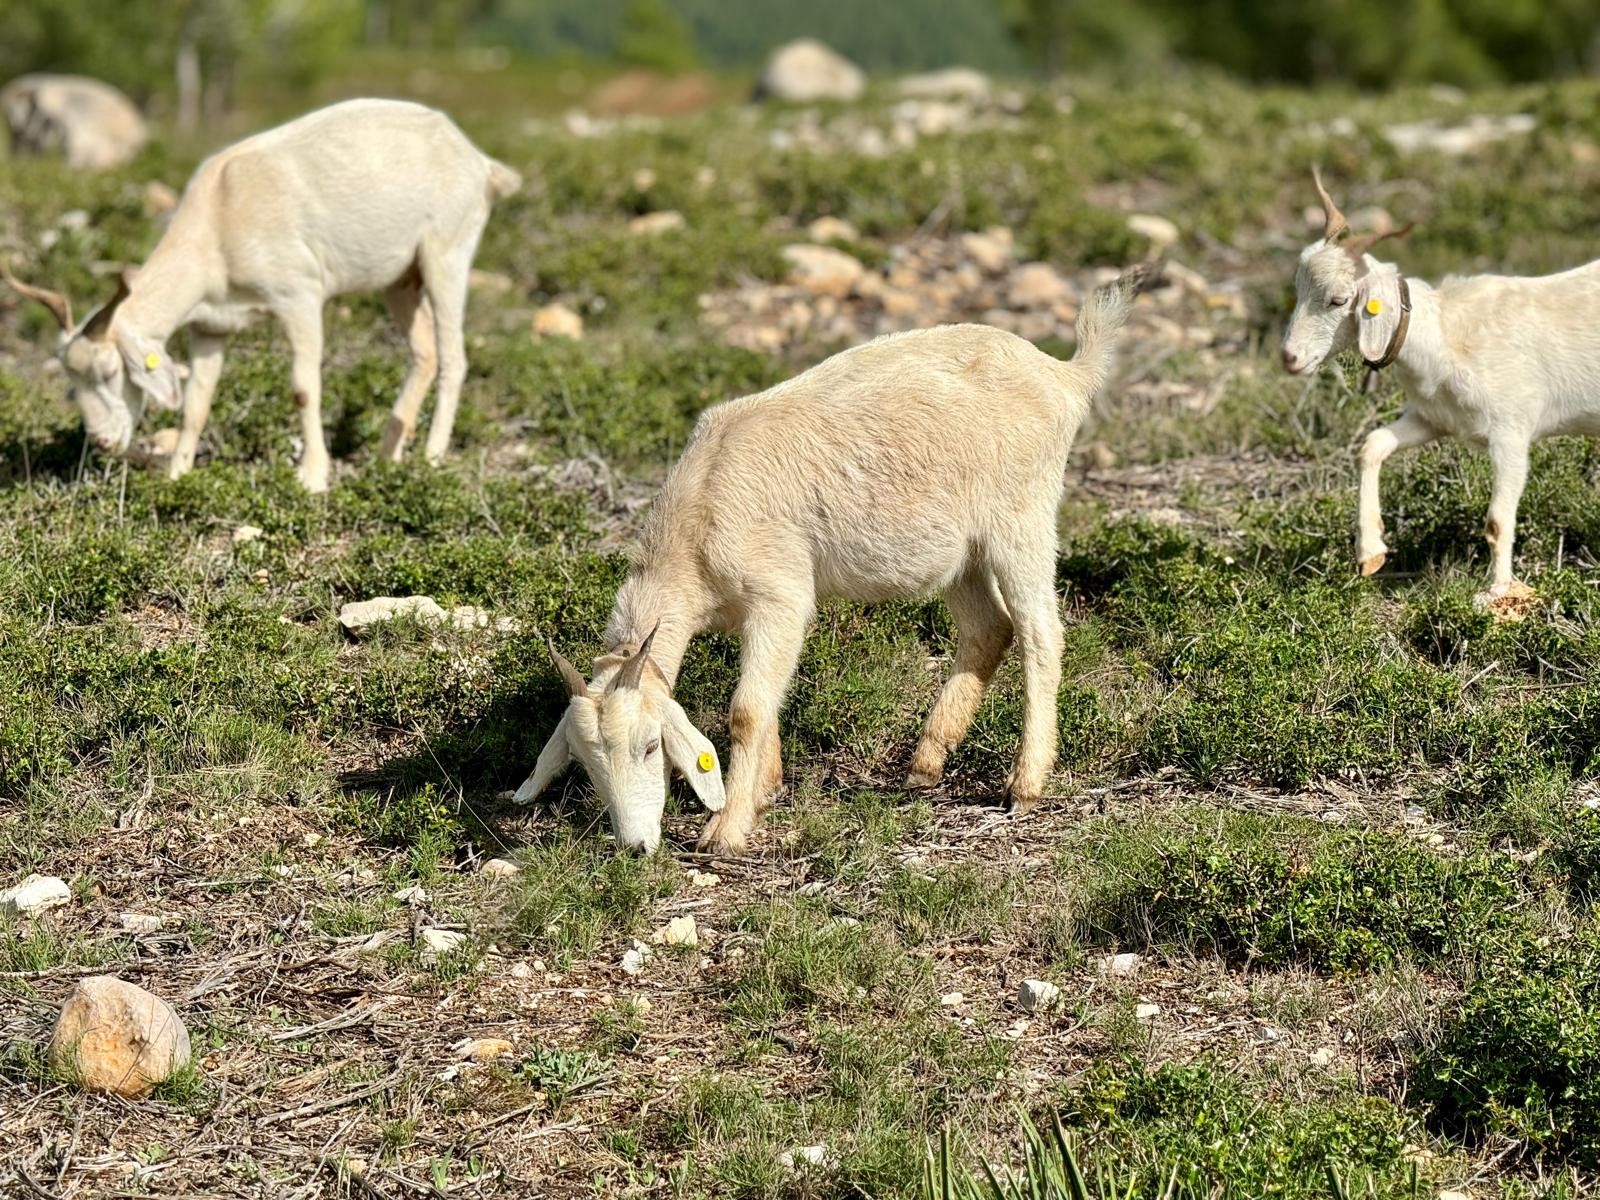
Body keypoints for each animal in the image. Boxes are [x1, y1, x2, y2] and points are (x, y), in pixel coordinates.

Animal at [515, 268, 1152, 857]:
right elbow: (767, 703)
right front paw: (767, 787)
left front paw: (726, 830)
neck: (695, 526)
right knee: (987, 628)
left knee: (1041, 631)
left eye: (650, 745)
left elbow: (747, 710)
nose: (635, 846)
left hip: (1022, 516)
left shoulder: (781, 594)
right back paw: (926, 762)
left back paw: (1025, 784)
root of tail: (1065, 375)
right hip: (961, 553)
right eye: (585, 763)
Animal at [1280, 165, 1600, 601]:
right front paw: (1371, 553)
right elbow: (1372, 445)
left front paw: (1496, 592)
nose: (1289, 357)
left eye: (1338, 300)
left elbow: (1497, 521)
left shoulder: (1512, 432)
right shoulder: (1434, 419)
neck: (1446, 335)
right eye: (1297, 289)